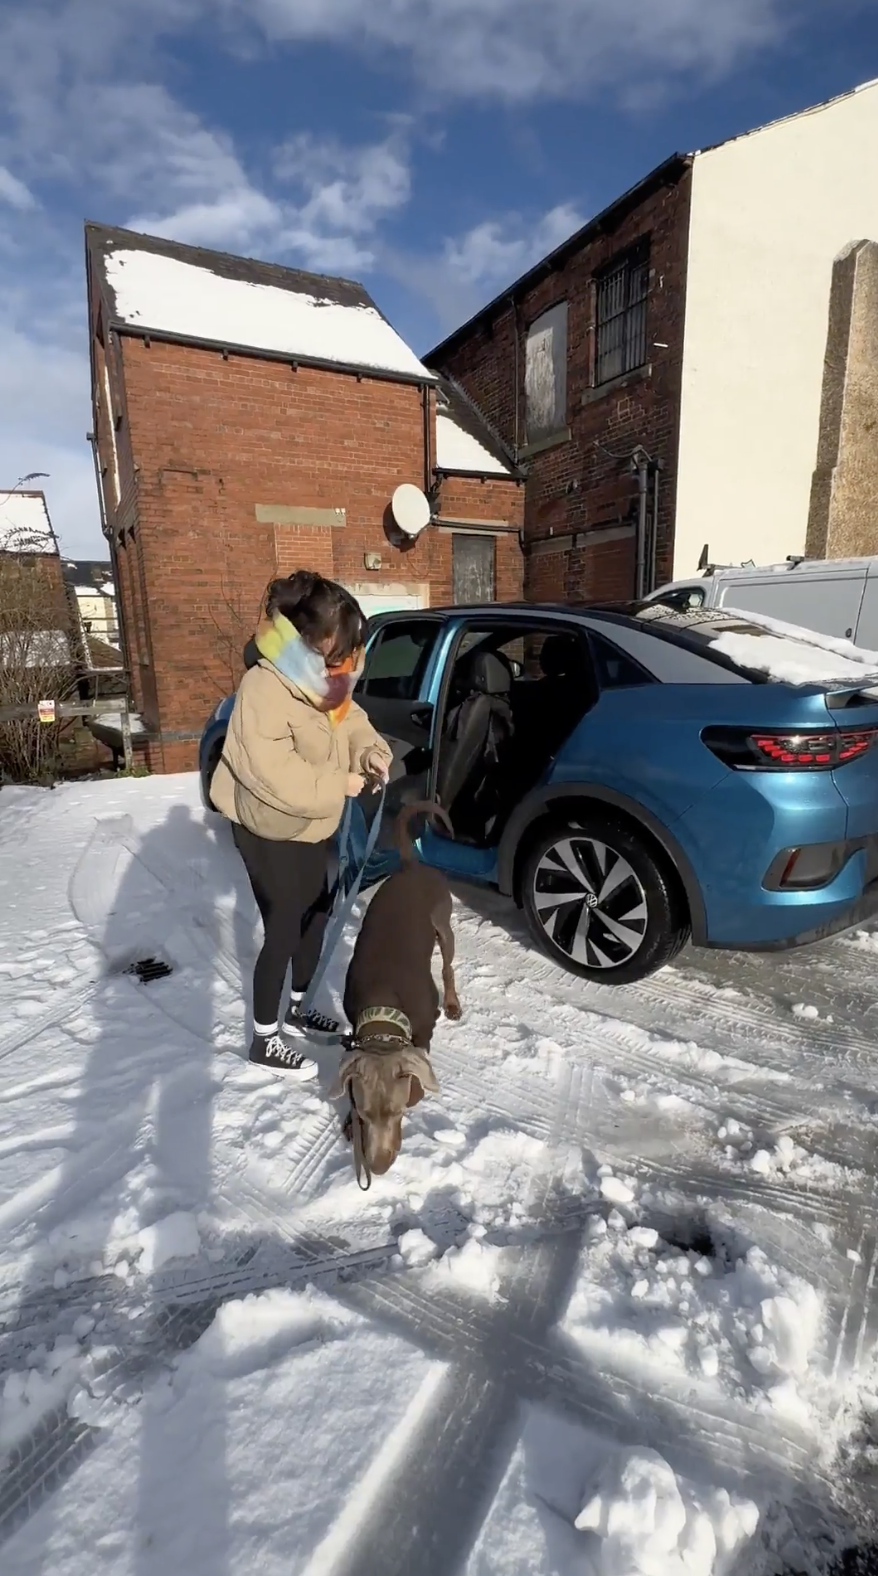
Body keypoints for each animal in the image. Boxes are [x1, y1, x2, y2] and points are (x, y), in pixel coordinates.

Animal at [328, 801, 461, 1189]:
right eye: (364, 1114)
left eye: (399, 1112)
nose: (379, 1167)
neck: (383, 1004)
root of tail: (412, 866)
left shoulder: (424, 1028)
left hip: (444, 926)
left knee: (448, 966)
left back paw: (454, 1002)